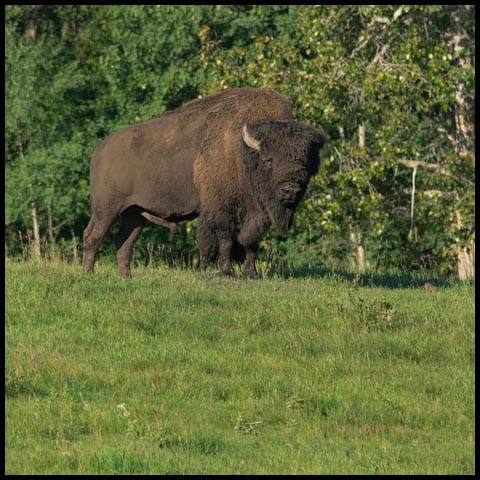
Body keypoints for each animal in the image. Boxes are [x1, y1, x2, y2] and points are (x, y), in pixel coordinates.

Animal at [82, 88, 326, 280]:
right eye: (268, 159)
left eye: (305, 162)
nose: (291, 189)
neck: (242, 153)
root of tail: (100, 149)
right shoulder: (221, 210)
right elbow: (226, 241)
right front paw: (227, 272)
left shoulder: (256, 215)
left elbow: (250, 243)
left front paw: (252, 274)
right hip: (107, 209)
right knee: (93, 236)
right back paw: (89, 274)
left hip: (134, 213)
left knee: (124, 242)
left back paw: (125, 277)